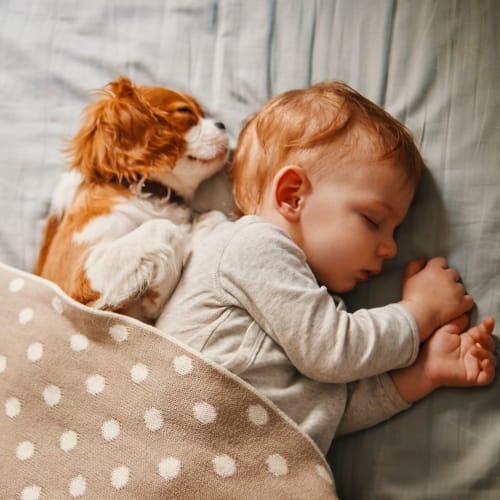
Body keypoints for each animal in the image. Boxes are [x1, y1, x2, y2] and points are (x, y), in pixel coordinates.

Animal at [36, 76, 229, 322]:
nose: (222, 124)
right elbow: (164, 227)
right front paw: (158, 293)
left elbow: (214, 215)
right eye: (184, 111)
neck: (150, 194)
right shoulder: (74, 282)